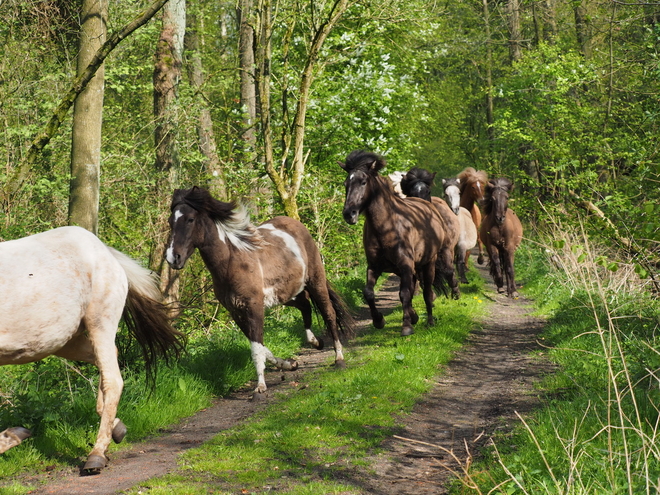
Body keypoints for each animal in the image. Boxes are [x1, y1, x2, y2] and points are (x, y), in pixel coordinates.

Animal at [0, 227, 183, 474]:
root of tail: (103, 250)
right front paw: (14, 435)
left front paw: (13, 436)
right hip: (65, 342)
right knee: (106, 363)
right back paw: (116, 429)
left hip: (99, 323)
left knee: (112, 379)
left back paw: (96, 455)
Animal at [165, 186, 356, 396]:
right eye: (170, 221)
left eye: (190, 219)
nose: (173, 258)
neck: (231, 262)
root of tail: (296, 224)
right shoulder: (236, 311)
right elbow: (260, 346)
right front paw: (289, 364)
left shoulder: (254, 306)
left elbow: (257, 348)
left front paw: (260, 387)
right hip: (286, 293)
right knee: (305, 306)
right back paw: (316, 342)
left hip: (316, 281)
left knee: (328, 313)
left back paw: (339, 358)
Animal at [338, 151, 456, 338]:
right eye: (346, 183)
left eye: (363, 182)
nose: (349, 214)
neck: (387, 226)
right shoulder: (375, 266)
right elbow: (368, 293)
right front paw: (379, 321)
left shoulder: (405, 265)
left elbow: (405, 294)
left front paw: (406, 326)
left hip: (428, 264)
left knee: (427, 291)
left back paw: (429, 320)